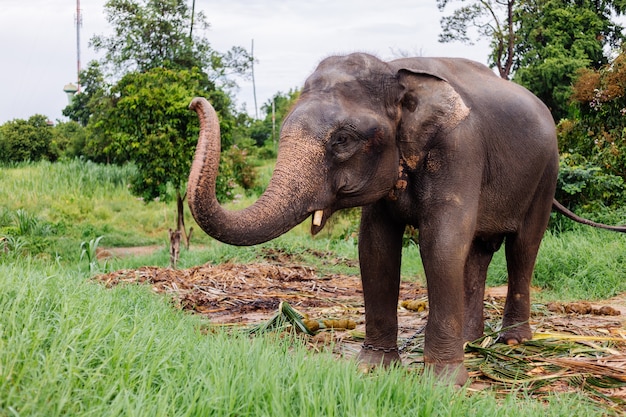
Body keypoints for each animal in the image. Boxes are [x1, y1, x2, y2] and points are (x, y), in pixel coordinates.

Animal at [186, 52, 624, 384]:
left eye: (342, 140)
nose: (194, 102)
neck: (398, 71)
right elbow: (375, 247)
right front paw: (373, 369)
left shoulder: (460, 148)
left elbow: (440, 243)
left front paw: (444, 383)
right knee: (479, 252)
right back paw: (471, 341)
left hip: (546, 174)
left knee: (523, 248)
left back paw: (511, 343)